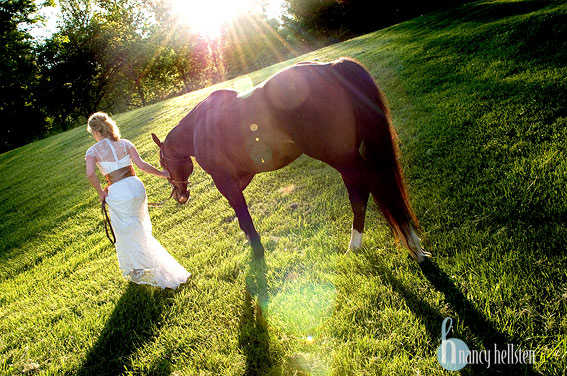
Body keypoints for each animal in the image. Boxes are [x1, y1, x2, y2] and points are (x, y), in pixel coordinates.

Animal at [151, 57, 430, 262]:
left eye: (163, 163)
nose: (180, 196)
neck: (199, 126)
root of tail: (331, 68)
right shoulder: (240, 179)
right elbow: (242, 216)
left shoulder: (225, 183)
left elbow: (243, 216)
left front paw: (257, 252)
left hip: (343, 159)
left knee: (363, 192)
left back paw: (358, 245)